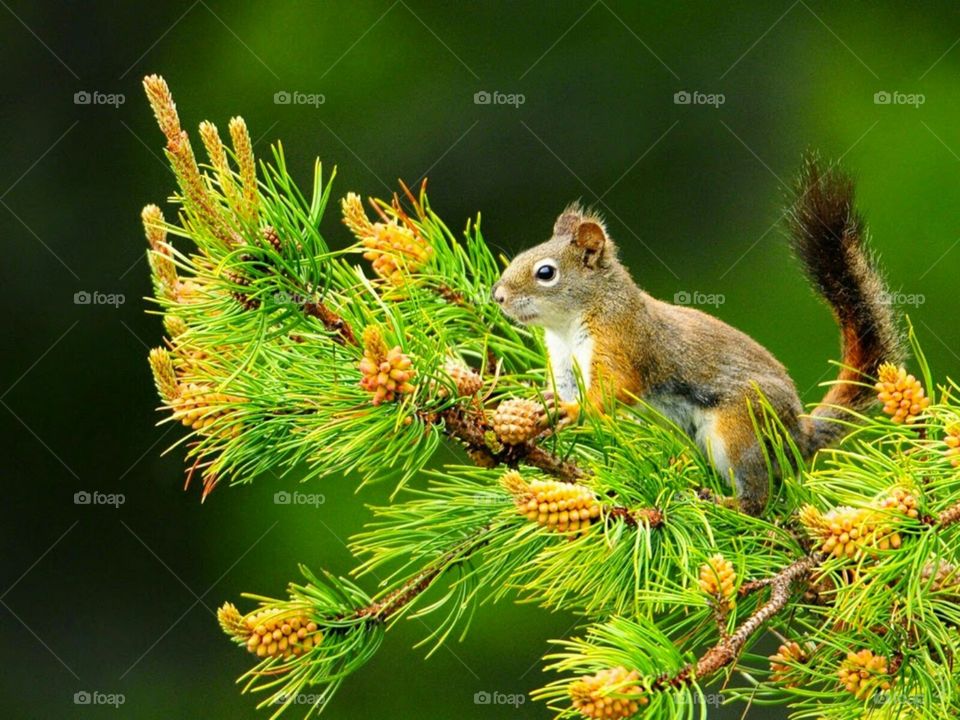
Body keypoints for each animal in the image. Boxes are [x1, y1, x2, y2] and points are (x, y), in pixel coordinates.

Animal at [491, 155, 902, 514]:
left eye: (546, 272)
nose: (498, 296)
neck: (568, 325)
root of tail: (798, 435)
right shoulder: (563, 363)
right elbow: (562, 390)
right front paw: (542, 406)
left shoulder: (621, 342)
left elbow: (614, 389)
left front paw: (573, 410)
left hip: (739, 429)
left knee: (758, 495)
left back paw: (728, 503)